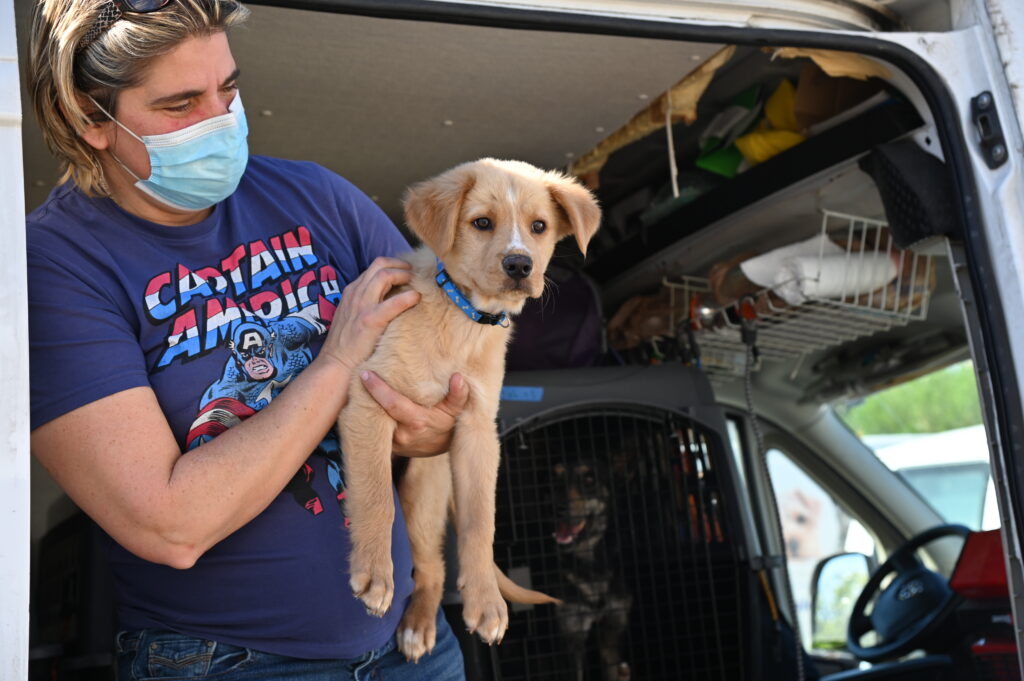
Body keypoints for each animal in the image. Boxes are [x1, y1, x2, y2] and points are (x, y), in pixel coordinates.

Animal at [339, 159, 598, 659]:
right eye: (481, 223)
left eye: (539, 227)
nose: (519, 265)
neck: (462, 320)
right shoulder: (369, 398)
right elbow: (375, 495)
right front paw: (375, 573)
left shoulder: (478, 431)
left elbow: (481, 523)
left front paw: (487, 603)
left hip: (425, 488)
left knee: (433, 568)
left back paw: (418, 626)